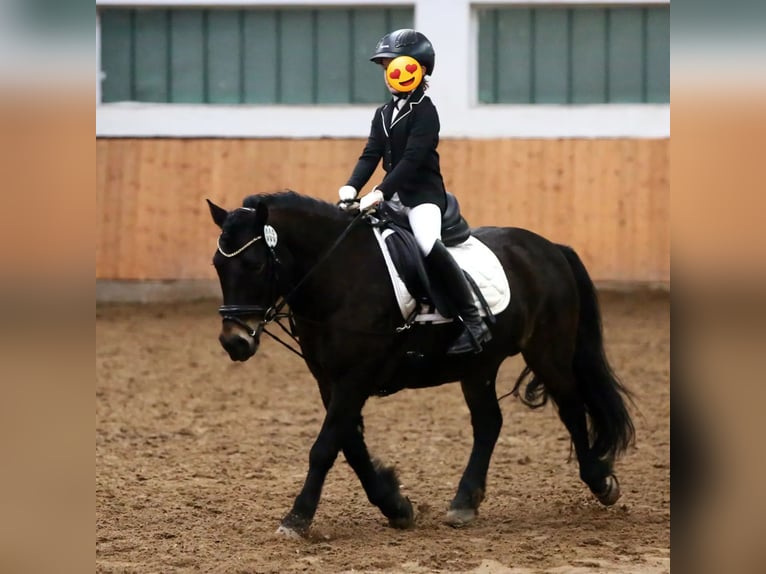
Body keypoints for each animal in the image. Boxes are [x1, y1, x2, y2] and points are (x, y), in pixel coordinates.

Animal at [207, 190, 635, 538]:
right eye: (217, 265)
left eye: (256, 264)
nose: (234, 342)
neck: (338, 274)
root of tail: (549, 247)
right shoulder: (328, 380)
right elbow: (350, 444)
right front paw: (395, 506)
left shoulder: (355, 377)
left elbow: (326, 446)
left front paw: (296, 519)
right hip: (478, 366)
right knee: (489, 423)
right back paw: (464, 502)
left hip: (549, 351)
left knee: (571, 408)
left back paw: (601, 482)